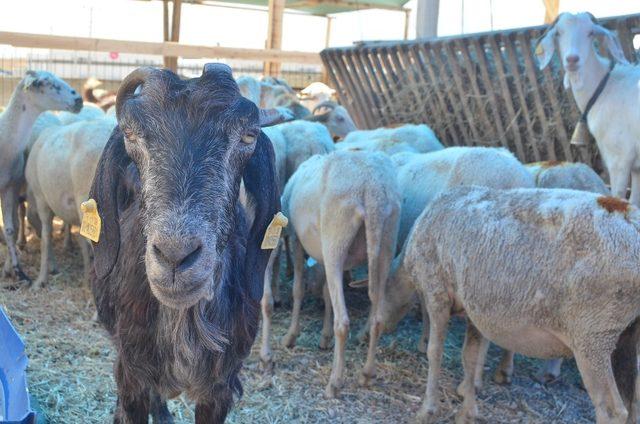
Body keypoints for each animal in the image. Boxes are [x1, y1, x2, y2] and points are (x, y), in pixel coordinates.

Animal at [282, 151, 400, 400]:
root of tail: (372, 189)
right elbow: (327, 293)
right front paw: (324, 337)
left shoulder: (296, 240)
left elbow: (298, 288)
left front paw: (291, 336)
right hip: (386, 239)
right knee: (377, 317)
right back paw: (366, 374)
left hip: (335, 238)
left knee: (344, 321)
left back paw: (335, 382)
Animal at [536, 12, 636, 205]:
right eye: (558, 33)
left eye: (590, 33)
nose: (572, 59)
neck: (606, 87)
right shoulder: (636, 166)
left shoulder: (619, 159)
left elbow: (620, 197)